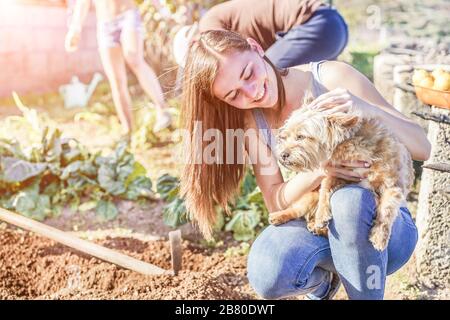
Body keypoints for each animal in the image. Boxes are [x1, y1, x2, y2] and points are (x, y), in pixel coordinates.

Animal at [268, 102, 414, 250]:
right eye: (285, 137)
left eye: (301, 136)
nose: (282, 155)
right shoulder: (336, 174)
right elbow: (325, 190)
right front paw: (321, 215)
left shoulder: (392, 186)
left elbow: (386, 211)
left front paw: (379, 236)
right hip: (309, 197)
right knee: (296, 210)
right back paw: (281, 216)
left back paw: (316, 227)